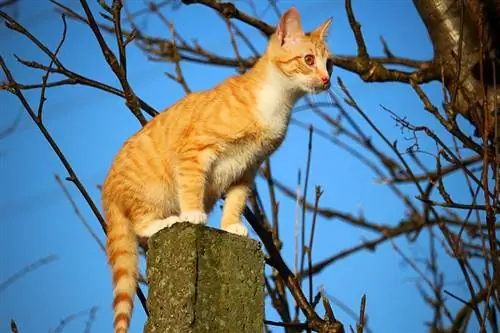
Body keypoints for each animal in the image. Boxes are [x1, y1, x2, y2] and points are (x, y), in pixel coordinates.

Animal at [102, 5, 332, 332]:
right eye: (309, 60)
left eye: (330, 64)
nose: (326, 79)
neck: (277, 102)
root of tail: (108, 192)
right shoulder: (194, 150)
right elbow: (191, 184)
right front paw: (193, 213)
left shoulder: (248, 168)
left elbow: (236, 199)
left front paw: (230, 225)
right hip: (151, 192)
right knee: (141, 226)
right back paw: (169, 220)